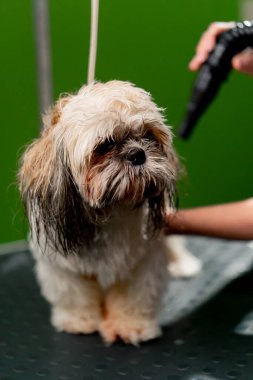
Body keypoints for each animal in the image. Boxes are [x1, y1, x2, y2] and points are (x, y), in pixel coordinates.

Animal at [18, 80, 202, 344]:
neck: (110, 211)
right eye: (105, 144)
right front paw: (79, 321)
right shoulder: (63, 267)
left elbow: (134, 297)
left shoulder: (142, 263)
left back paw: (184, 264)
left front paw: (131, 326)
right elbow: (76, 296)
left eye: (148, 135)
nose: (138, 153)